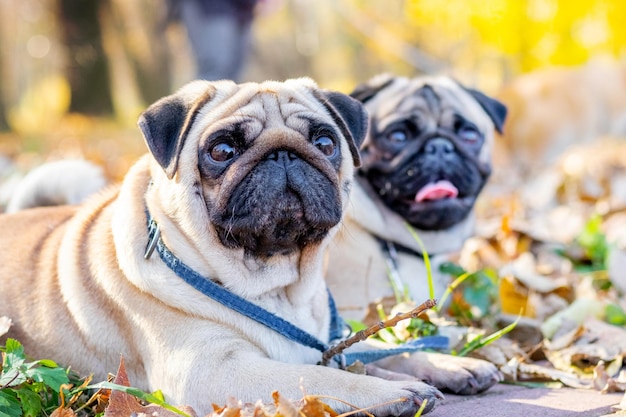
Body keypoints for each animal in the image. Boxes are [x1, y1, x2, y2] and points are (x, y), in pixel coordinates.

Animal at [0, 79, 442, 414]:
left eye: (325, 143)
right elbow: (319, 376)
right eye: (222, 150)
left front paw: (443, 363)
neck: (274, 286)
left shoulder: (329, 341)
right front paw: (393, 392)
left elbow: (384, 350)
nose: (283, 153)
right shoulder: (212, 370)